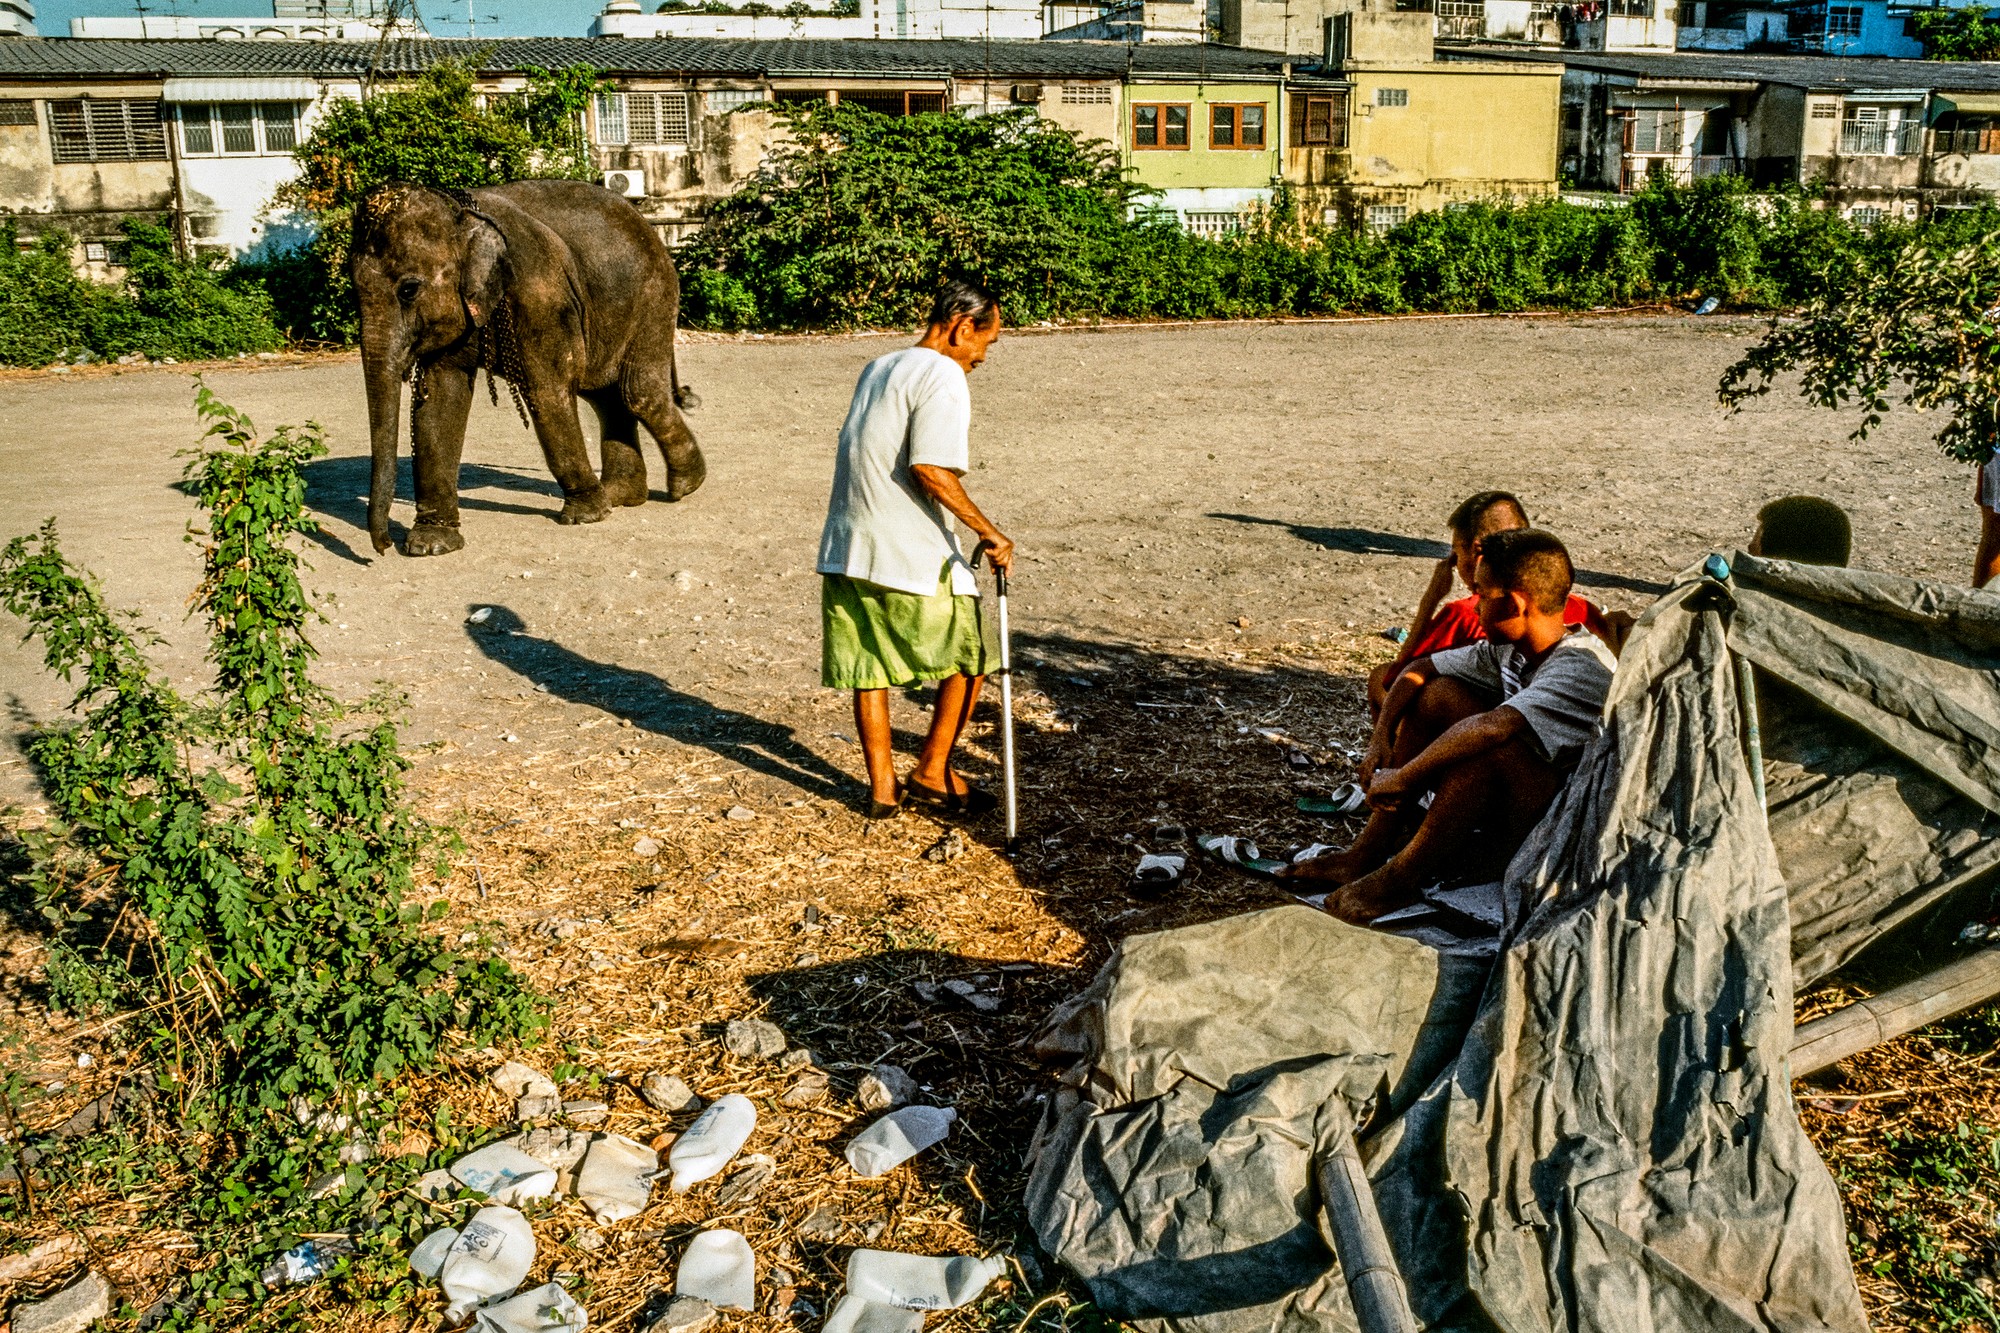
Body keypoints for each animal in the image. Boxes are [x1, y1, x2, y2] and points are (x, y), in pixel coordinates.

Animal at [352, 178, 706, 557]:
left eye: (408, 289)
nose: (384, 546)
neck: (461, 214)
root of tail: (648, 226)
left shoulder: (540, 296)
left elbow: (546, 392)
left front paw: (584, 516)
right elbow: (440, 403)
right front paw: (430, 545)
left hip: (654, 294)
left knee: (636, 393)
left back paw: (684, 486)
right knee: (605, 396)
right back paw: (621, 496)